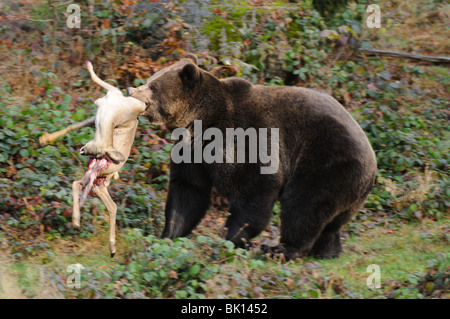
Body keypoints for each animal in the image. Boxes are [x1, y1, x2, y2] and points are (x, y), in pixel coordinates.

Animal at [128, 53, 378, 262]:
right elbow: (188, 191)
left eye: (153, 86)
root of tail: (372, 160)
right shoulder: (192, 151)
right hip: (348, 190)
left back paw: (280, 249)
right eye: (151, 79)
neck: (201, 122)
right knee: (330, 223)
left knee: (304, 206)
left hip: (327, 161)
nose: (132, 90)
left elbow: (253, 191)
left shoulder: (245, 139)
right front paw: (168, 235)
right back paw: (327, 251)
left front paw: (231, 239)